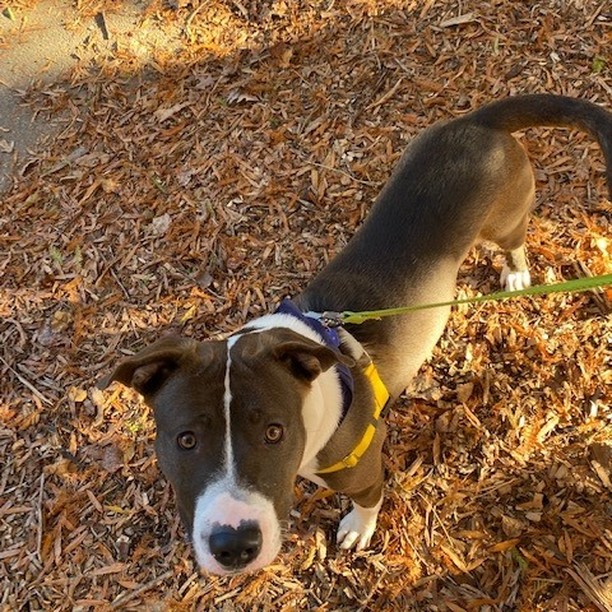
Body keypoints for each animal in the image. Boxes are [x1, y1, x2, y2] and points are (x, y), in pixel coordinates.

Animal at [98, 94, 608, 572]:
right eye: (185, 439)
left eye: (274, 432)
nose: (234, 545)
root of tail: (479, 120)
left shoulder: (365, 463)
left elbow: (369, 498)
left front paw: (358, 529)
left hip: (506, 217)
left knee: (514, 240)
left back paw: (517, 274)